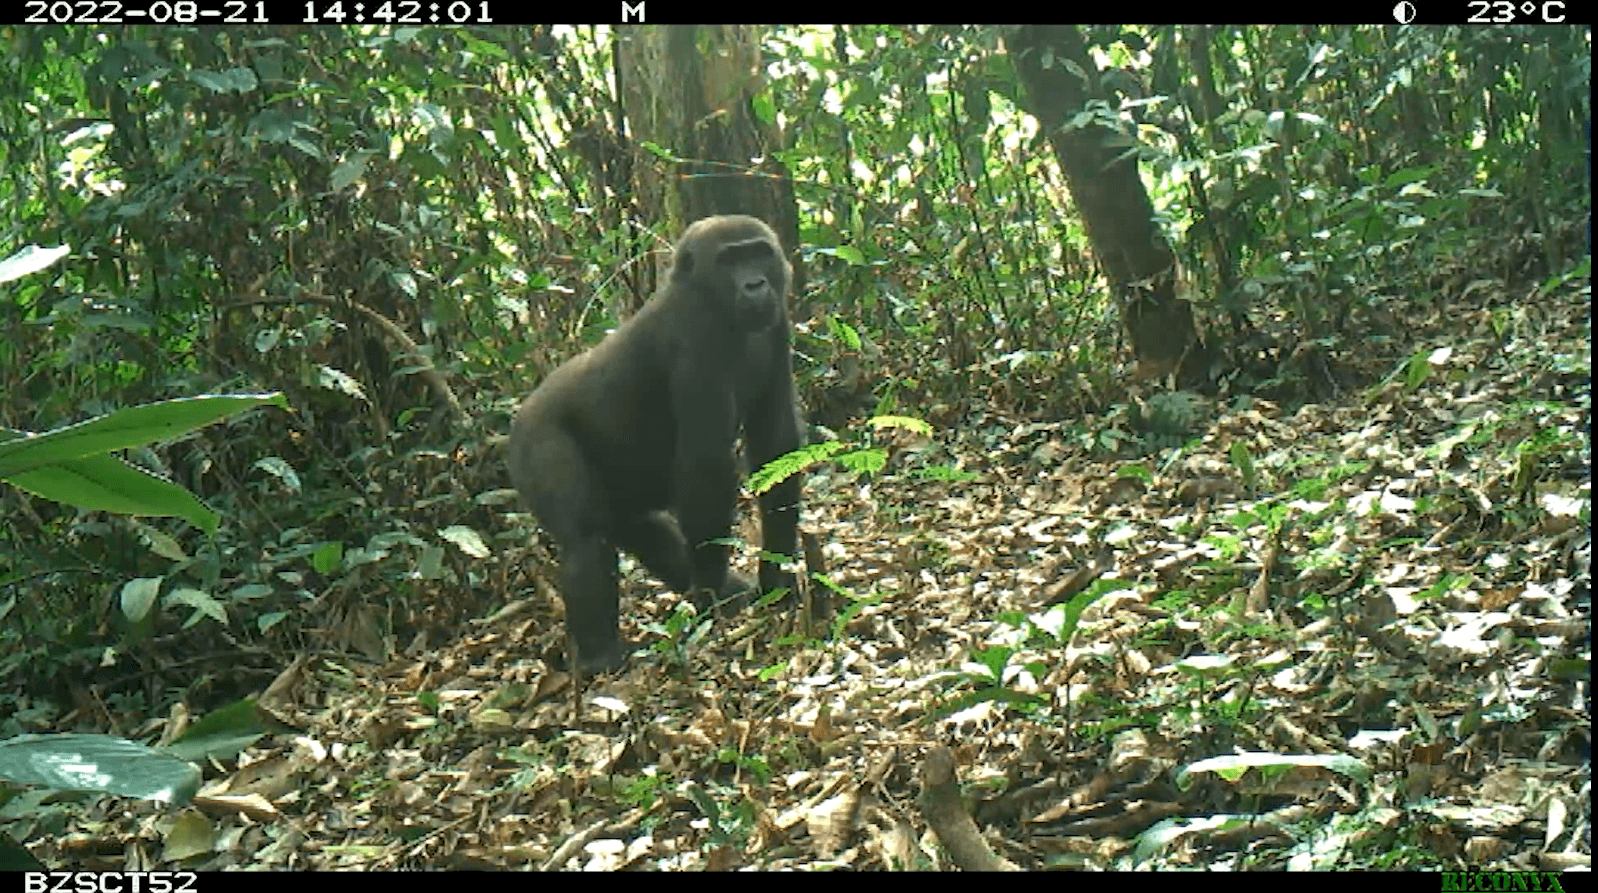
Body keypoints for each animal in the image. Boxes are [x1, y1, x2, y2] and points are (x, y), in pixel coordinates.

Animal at [507, 215, 808, 675]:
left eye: (759, 253)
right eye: (730, 260)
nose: (756, 284)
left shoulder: (777, 324)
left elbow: (775, 445)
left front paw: (776, 575)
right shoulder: (697, 334)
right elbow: (705, 466)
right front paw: (710, 592)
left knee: (638, 526)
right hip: (534, 439)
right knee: (585, 537)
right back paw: (600, 656)